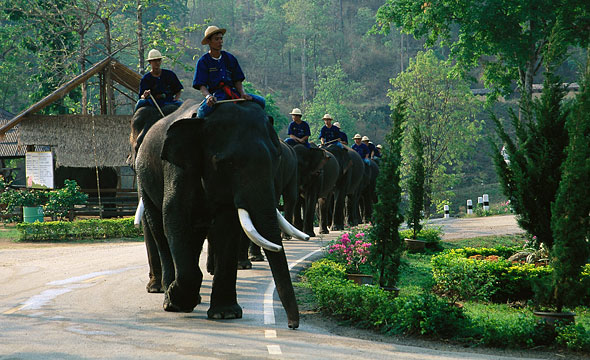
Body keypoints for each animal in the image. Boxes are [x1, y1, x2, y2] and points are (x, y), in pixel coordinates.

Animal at [136, 98, 302, 330]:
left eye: (276, 158)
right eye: (227, 163)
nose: (292, 324)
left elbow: (227, 227)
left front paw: (225, 315)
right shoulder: (177, 168)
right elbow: (174, 217)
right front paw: (178, 300)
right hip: (144, 179)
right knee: (160, 229)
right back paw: (171, 300)